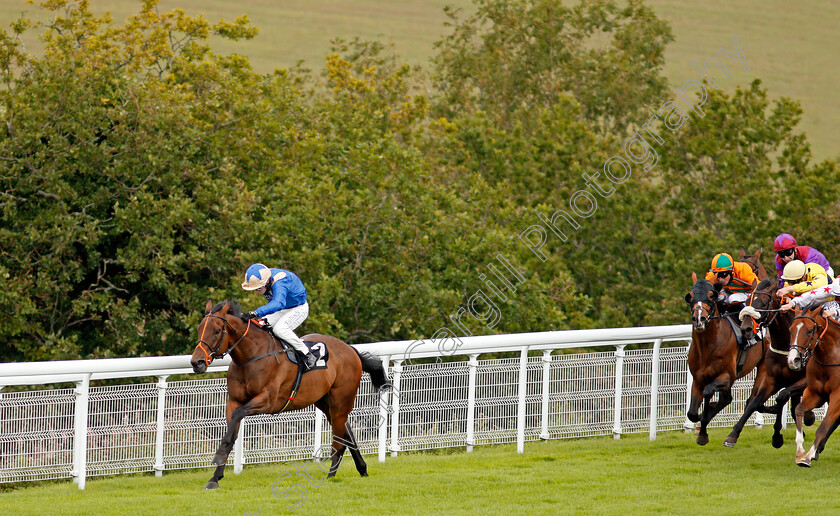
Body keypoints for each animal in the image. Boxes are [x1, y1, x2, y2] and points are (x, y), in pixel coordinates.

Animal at [189, 298, 388, 488]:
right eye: (199, 329)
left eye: (217, 331)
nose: (197, 362)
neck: (252, 356)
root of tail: (351, 350)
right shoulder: (233, 401)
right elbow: (231, 434)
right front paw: (215, 477)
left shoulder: (268, 401)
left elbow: (237, 417)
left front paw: (217, 459)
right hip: (325, 402)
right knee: (348, 433)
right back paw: (362, 469)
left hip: (341, 401)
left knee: (339, 441)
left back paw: (330, 476)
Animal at [724, 278, 812, 448]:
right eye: (746, 302)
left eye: (764, 303)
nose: (745, 329)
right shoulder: (773, 379)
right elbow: (754, 403)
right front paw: (733, 435)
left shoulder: (805, 380)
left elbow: (782, 398)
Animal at [792, 304, 840, 466]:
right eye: (791, 329)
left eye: (809, 330)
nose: (793, 360)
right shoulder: (816, 393)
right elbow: (799, 409)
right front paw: (800, 452)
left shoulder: (837, 396)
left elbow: (824, 426)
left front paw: (808, 456)